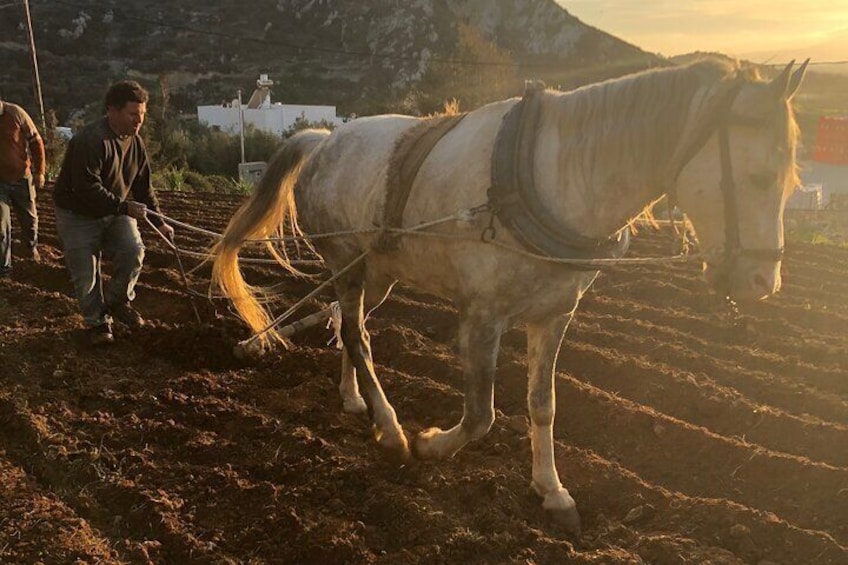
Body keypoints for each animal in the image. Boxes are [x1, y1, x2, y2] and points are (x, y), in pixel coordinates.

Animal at [214, 59, 808, 536]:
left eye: (791, 184)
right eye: (758, 177)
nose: (765, 284)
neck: (555, 179)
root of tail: (323, 140)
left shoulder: (555, 314)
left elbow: (543, 405)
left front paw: (553, 492)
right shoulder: (483, 314)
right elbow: (482, 414)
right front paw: (430, 444)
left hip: (376, 272)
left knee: (346, 325)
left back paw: (354, 399)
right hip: (346, 261)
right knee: (357, 334)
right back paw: (391, 428)